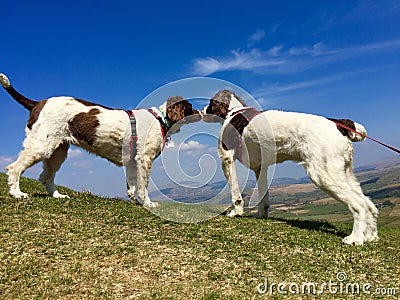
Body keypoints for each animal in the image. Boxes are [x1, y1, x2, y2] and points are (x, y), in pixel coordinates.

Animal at [0, 74, 200, 207]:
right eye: (190, 107)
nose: (200, 112)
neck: (160, 118)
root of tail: (37, 103)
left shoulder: (131, 161)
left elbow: (132, 185)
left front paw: (136, 200)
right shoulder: (144, 159)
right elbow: (143, 186)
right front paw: (149, 204)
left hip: (57, 151)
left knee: (45, 177)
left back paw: (57, 196)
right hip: (42, 147)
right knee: (14, 168)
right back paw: (17, 193)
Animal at [205, 90, 380, 245]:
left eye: (210, 103)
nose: (202, 110)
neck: (234, 112)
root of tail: (337, 124)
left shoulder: (227, 158)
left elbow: (235, 192)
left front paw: (236, 212)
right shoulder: (260, 167)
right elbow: (263, 196)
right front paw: (261, 215)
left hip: (323, 174)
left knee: (359, 204)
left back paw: (355, 238)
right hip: (344, 172)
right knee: (369, 204)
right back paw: (370, 236)